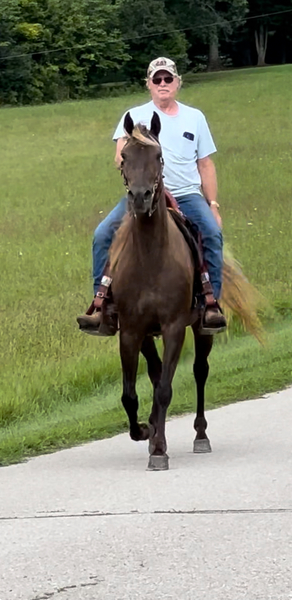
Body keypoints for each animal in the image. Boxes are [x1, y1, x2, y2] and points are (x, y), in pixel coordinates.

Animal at [109, 111, 212, 468]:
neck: (151, 257)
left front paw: (158, 450)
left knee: (200, 371)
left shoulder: (174, 328)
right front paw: (144, 430)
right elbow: (130, 394)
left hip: (202, 328)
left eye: (158, 156)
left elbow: (166, 389)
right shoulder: (131, 330)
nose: (140, 197)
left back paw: (200, 435)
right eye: (124, 157)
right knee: (154, 374)